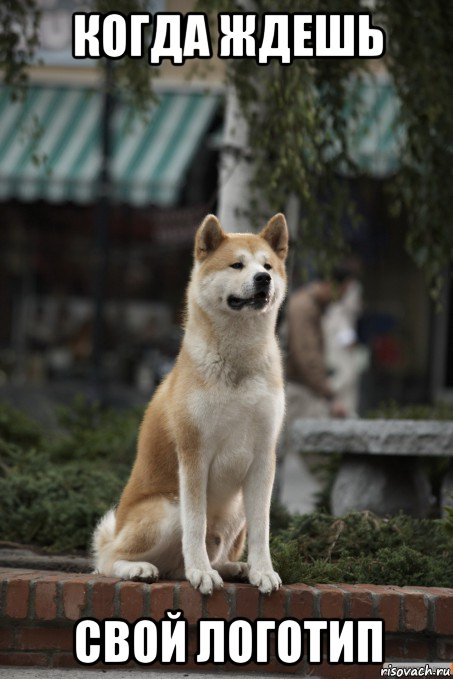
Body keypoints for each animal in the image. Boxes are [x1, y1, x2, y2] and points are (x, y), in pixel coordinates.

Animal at [93, 212, 288, 596]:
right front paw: (201, 573)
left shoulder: (263, 457)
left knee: (203, 558)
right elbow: (195, 526)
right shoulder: (194, 454)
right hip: (167, 508)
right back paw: (142, 568)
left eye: (268, 266)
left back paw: (235, 568)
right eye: (237, 264)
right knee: (108, 560)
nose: (263, 279)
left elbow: (262, 530)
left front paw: (263, 571)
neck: (237, 364)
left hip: (236, 509)